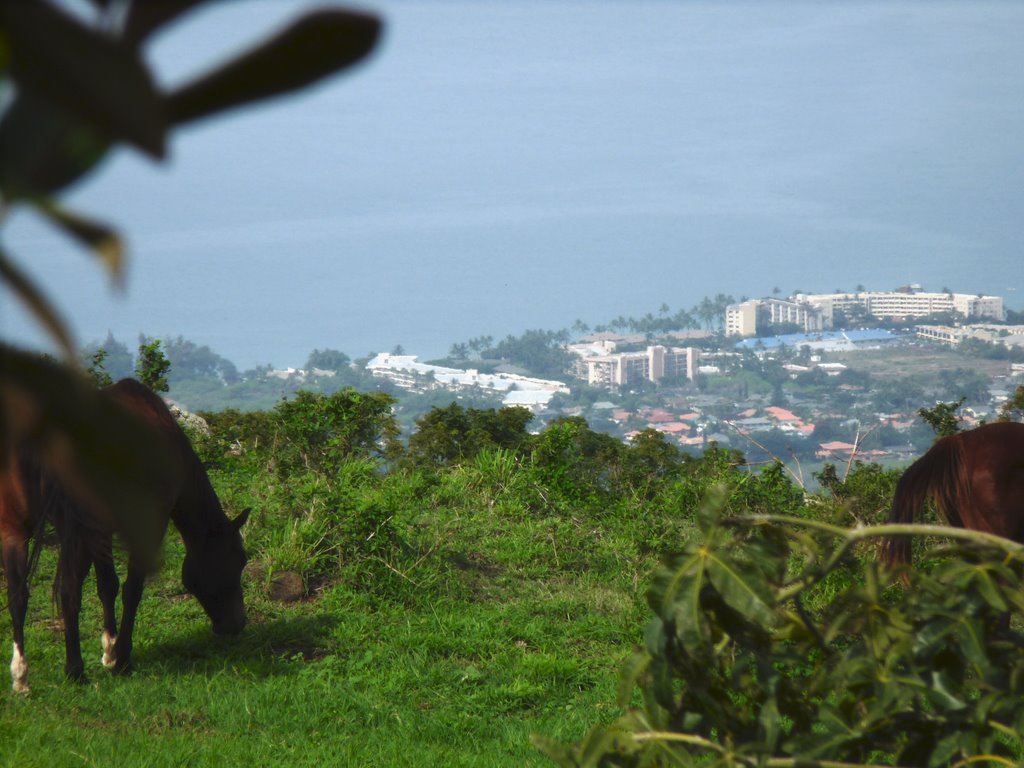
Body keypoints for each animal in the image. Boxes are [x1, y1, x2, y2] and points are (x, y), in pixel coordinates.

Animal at [0, 378, 247, 692]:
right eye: (238, 561)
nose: (238, 624)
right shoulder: (145, 525)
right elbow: (131, 589)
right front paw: (121, 658)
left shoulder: (102, 532)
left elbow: (107, 585)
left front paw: (109, 649)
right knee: (69, 590)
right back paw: (75, 669)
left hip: (16, 530)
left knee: (19, 596)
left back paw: (21, 676)